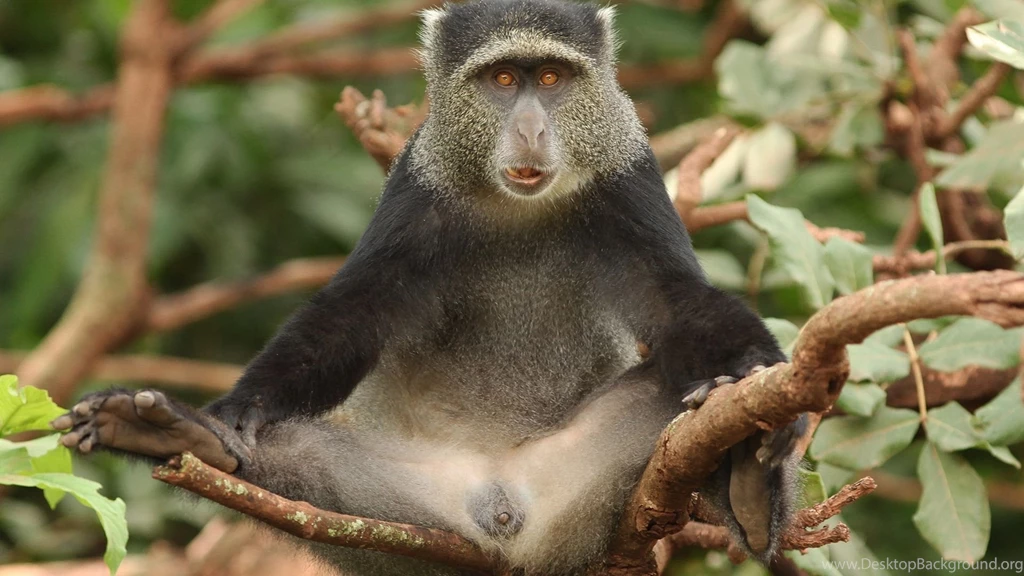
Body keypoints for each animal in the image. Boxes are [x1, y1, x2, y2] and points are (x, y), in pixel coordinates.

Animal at [53, 1, 808, 574]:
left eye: (552, 78)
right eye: (502, 79)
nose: (531, 129)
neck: (517, 207)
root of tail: (507, 512)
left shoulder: (629, 177)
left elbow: (676, 303)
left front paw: (760, 385)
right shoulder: (417, 189)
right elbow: (354, 314)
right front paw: (235, 410)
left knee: (678, 404)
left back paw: (746, 479)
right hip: (399, 516)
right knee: (294, 459)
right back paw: (174, 433)